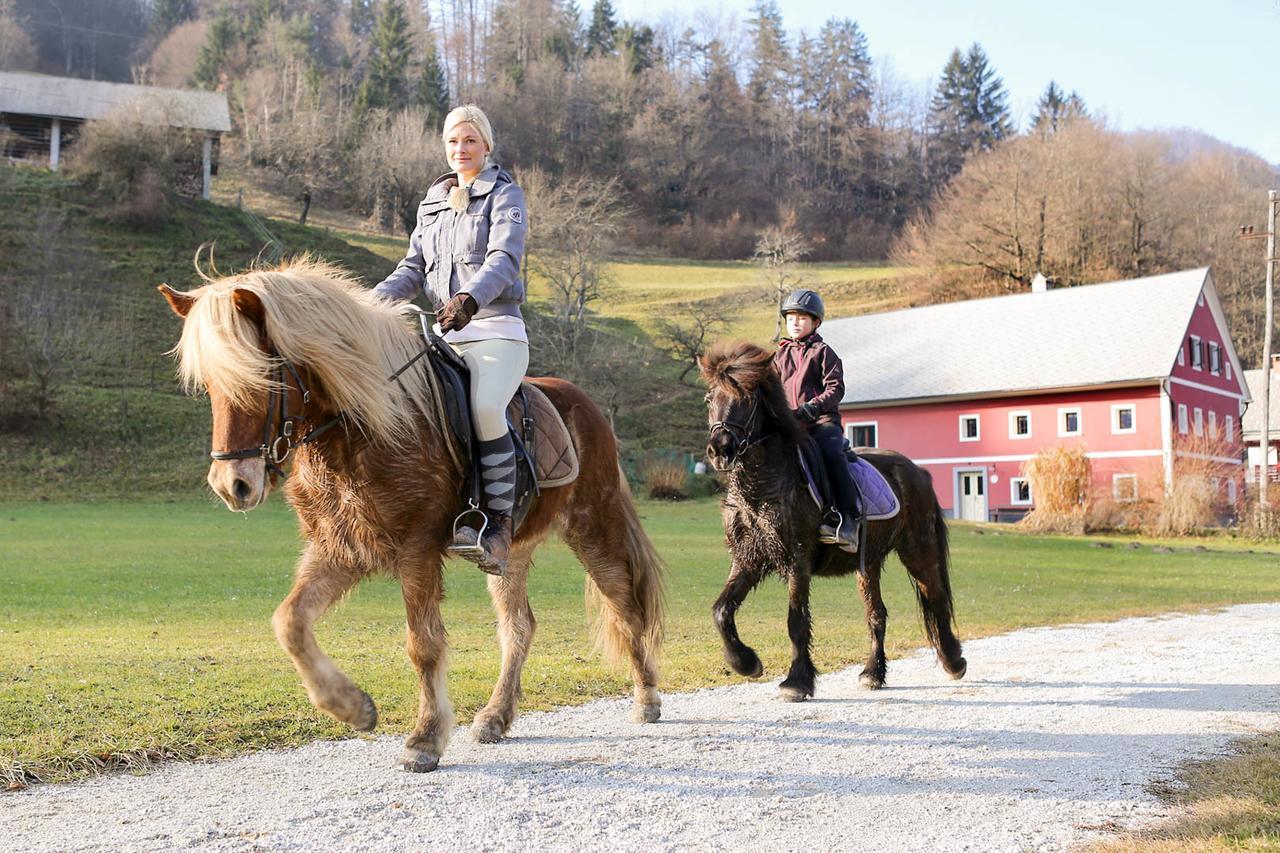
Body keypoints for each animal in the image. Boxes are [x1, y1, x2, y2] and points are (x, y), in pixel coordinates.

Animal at [158, 258, 660, 768]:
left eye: (264, 378)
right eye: (208, 386)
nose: (232, 485)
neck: (361, 430)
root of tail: (586, 405)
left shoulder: (417, 549)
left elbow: (423, 644)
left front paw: (425, 737)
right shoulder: (339, 550)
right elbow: (290, 622)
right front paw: (353, 708)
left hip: (593, 528)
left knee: (624, 607)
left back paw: (647, 698)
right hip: (510, 553)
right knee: (518, 628)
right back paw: (495, 717)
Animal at [701, 340, 962, 696]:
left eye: (747, 399)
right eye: (709, 399)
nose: (720, 450)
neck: (763, 485)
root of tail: (916, 471)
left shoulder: (797, 559)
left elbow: (796, 620)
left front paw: (797, 682)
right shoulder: (748, 560)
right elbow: (721, 610)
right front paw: (746, 663)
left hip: (917, 550)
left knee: (934, 596)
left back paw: (954, 662)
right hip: (869, 564)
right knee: (877, 615)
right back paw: (873, 673)